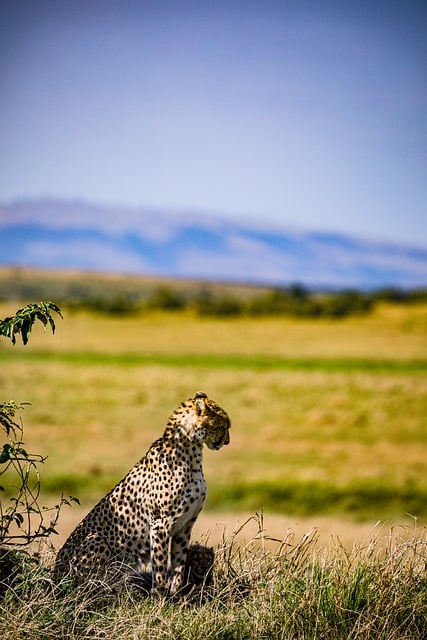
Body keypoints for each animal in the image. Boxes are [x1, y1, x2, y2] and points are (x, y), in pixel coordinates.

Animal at [57, 392, 232, 596]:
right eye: (222, 426)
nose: (227, 441)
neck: (191, 451)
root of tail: (54, 573)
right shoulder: (160, 522)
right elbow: (161, 565)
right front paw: (159, 597)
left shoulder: (186, 524)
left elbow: (178, 563)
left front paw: (175, 595)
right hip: (97, 540)